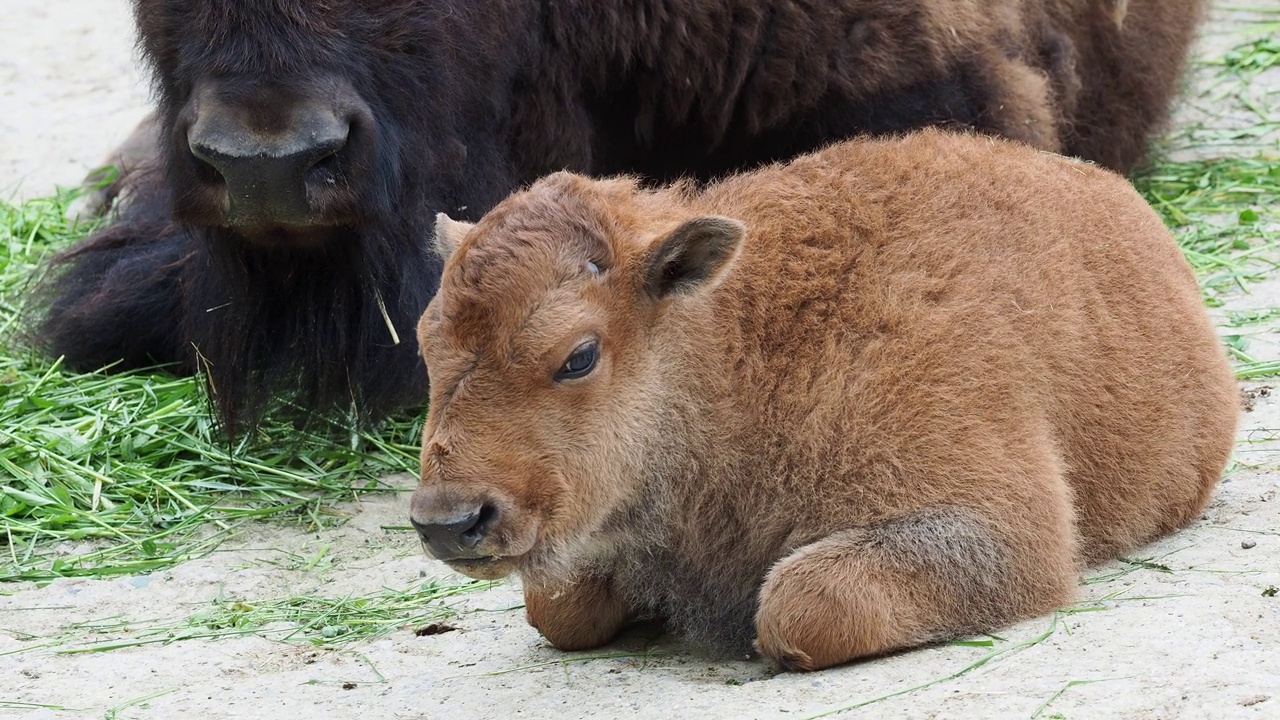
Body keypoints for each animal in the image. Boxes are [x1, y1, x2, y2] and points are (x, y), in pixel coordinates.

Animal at [409, 127, 1239, 666]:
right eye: (425, 342)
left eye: (578, 355)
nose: (449, 521)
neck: (750, 344)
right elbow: (556, 608)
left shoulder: (998, 530)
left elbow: (801, 606)